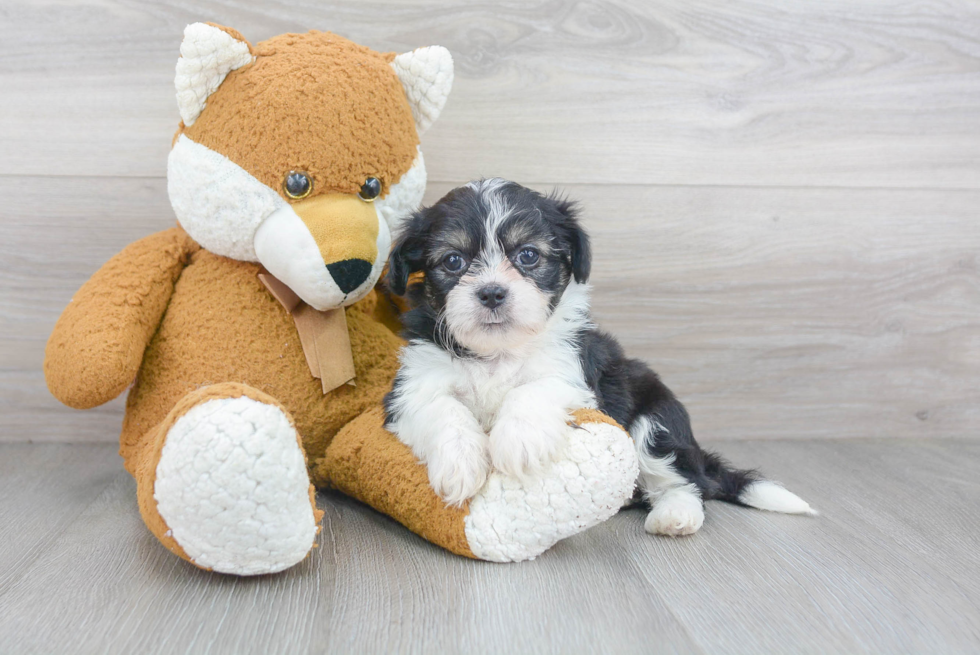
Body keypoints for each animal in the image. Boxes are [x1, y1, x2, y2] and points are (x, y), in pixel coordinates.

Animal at [382, 181, 812, 540]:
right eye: (453, 261)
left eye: (528, 255)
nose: (491, 293)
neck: (497, 352)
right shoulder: (410, 388)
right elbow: (442, 410)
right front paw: (460, 464)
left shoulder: (575, 375)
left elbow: (533, 390)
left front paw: (519, 442)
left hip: (657, 419)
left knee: (687, 481)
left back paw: (676, 515)